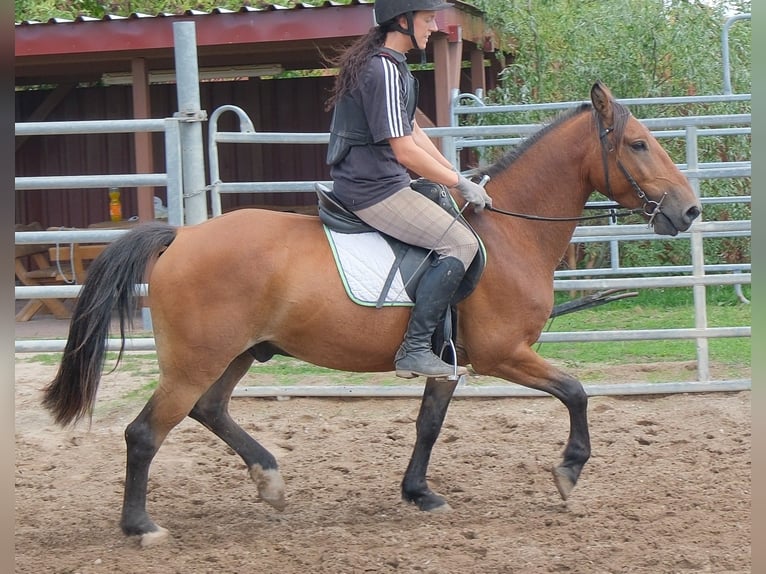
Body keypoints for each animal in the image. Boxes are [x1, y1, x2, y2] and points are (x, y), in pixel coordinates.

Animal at [42, 82, 701, 547]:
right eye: (638, 144)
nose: (690, 211)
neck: (510, 232)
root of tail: (180, 235)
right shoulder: (504, 355)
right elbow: (576, 391)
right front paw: (569, 471)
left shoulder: (448, 360)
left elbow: (429, 424)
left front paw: (419, 493)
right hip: (195, 362)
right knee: (145, 433)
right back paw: (141, 527)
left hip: (238, 353)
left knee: (210, 410)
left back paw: (269, 479)